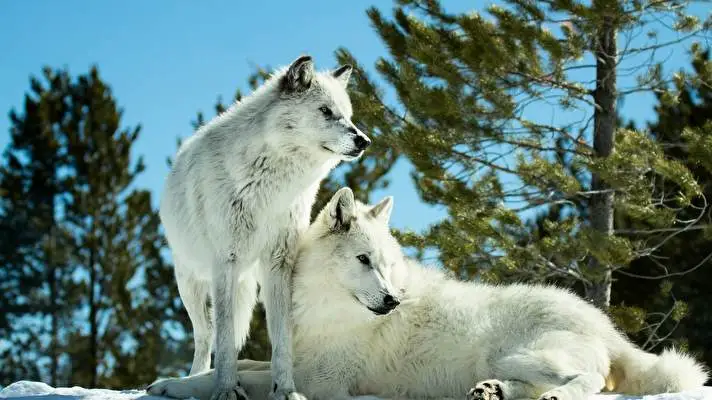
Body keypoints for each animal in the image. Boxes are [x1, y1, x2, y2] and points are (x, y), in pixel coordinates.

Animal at [150, 188, 708, 400]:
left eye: (387, 265)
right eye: (364, 261)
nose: (392, 301)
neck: (327, 309)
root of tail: (608, 329)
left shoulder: (323, 382)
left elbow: (241, 377)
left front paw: (175, 386)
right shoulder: (299, 361)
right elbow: (243, 365)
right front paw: (176, 380)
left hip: (520, 352)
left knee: (589, 383)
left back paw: (549, 395)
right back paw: (491, 393)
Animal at [156, 55, 371, 400]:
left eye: (348, 115)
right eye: (326, 110)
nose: (364, 140)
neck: (272, 184)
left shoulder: (279, 263)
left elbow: (281, 339)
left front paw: (285, 390)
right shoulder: (226, 263)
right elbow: (224, 342)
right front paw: (226, 390)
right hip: (190, 282)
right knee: (205, 336)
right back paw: (195, 379)